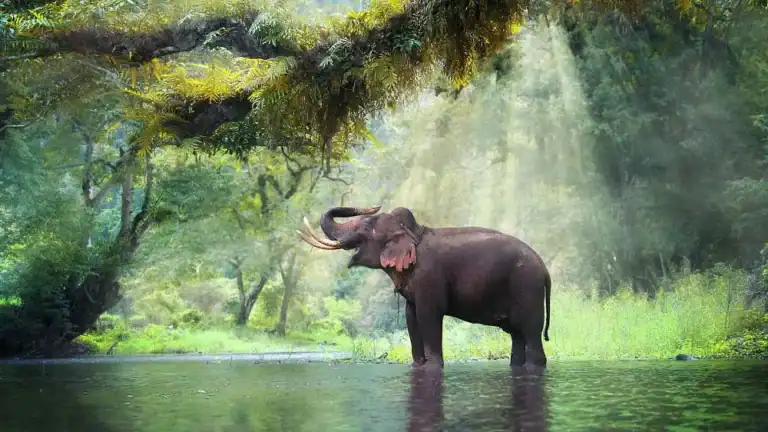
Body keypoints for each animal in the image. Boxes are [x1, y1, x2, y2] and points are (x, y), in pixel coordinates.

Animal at [296, 205, 552, 369]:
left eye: (366, 227)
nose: (372, 206)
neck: (414, 232)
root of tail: (545, 269)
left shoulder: (430, 276)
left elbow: (429, 315)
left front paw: (433, 366)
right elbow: (411, 317)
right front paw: (418, 365)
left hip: (527, 288)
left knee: (530, 334)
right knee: (517, 336)